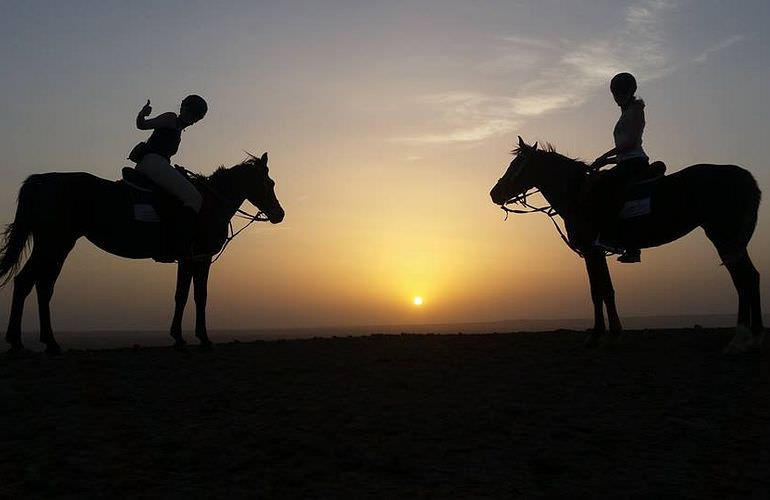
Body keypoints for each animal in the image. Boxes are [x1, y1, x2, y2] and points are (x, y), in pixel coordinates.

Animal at [0, 154, 284, 354]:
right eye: (268, 183)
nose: (279, 214)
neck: (209, 203)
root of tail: (41, 180)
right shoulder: (200, 258)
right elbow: (199, 296)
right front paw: (202, 338)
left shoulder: (187, 259)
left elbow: (181, 296)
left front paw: (179, 337)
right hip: (54, 244)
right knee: (30, 283)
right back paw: (27, 341)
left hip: (57, 245)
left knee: (38, 285)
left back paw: (38, 342)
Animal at [488, 137, 760, 354]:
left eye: (516, 166)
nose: (494, 193)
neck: (578, 195)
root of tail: (743, 175)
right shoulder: (597, 251)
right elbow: (606, 290)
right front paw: (613, 335)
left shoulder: (592, 250)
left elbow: (598, 291)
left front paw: (597, 336)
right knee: (751, 277)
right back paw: (754, 336)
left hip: (722, 235)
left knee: (743, 279)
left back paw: (740, 339)